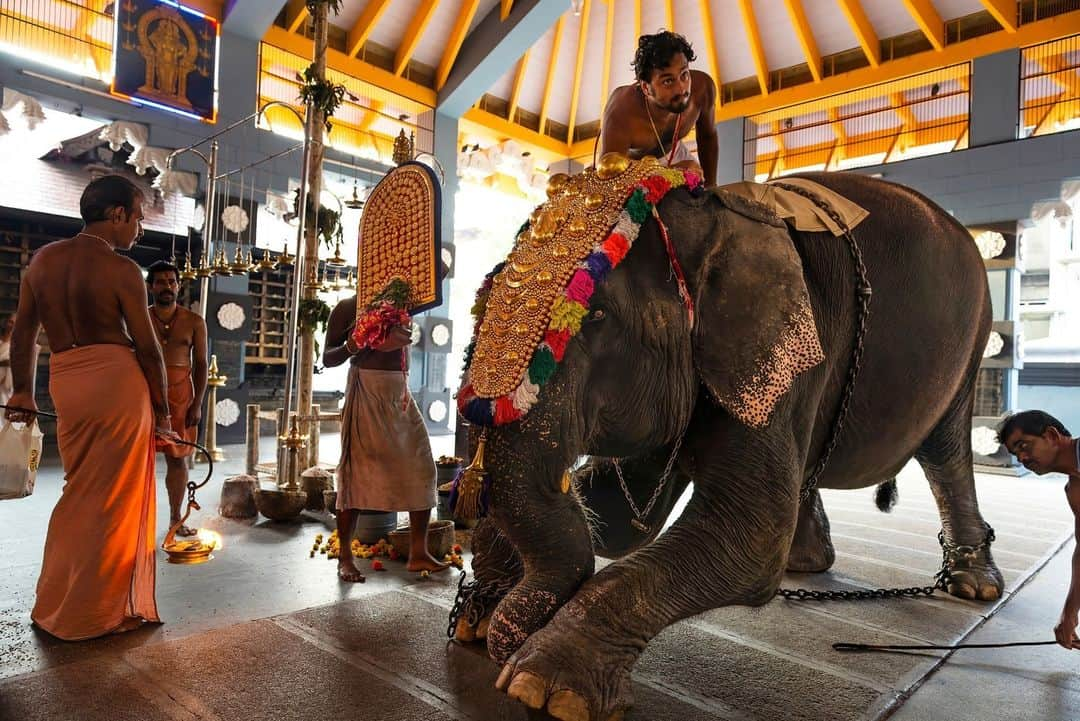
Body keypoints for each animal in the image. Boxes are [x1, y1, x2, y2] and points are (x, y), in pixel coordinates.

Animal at [449, 157, 1002, 721]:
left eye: (598, 314)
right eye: (482, 299)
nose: (500, 631)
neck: (708, 210)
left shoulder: (786, 350)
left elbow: (750, 531)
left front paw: (543, 688)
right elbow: (627, 520)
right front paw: (478, 615)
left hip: (971, 345)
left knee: (946, 452)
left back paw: (973, 584)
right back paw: (807, 563)